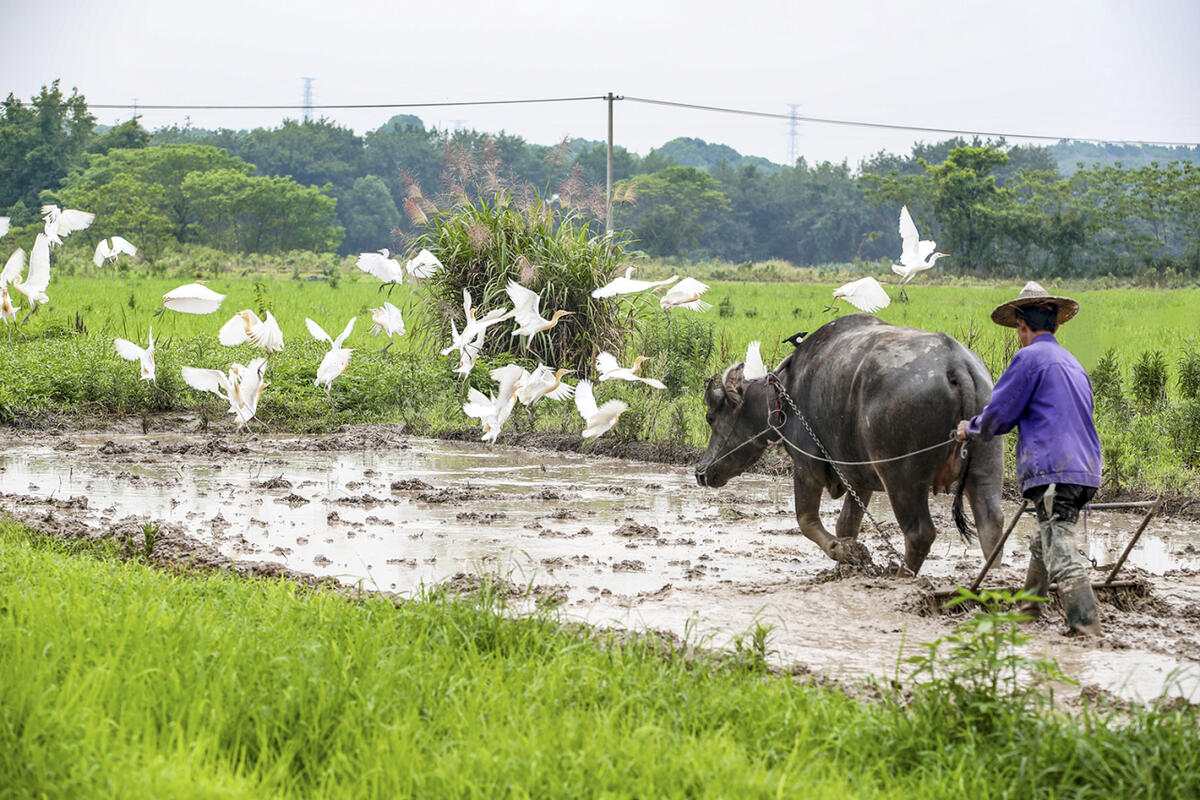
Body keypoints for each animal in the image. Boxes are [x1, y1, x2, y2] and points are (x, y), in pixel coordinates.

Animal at [696, 314, 1003, 575]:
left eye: (711, 417)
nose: (701, 472)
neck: (783, 398)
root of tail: (956, 364)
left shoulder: (807, 466)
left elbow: (806, 520)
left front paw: (842, 552)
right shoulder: (858, 476)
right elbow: (846, 523)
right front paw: (849, 559)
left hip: (901, 476)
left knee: (920, 532)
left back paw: (902, 576)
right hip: (986, 465)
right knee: (991, 524)